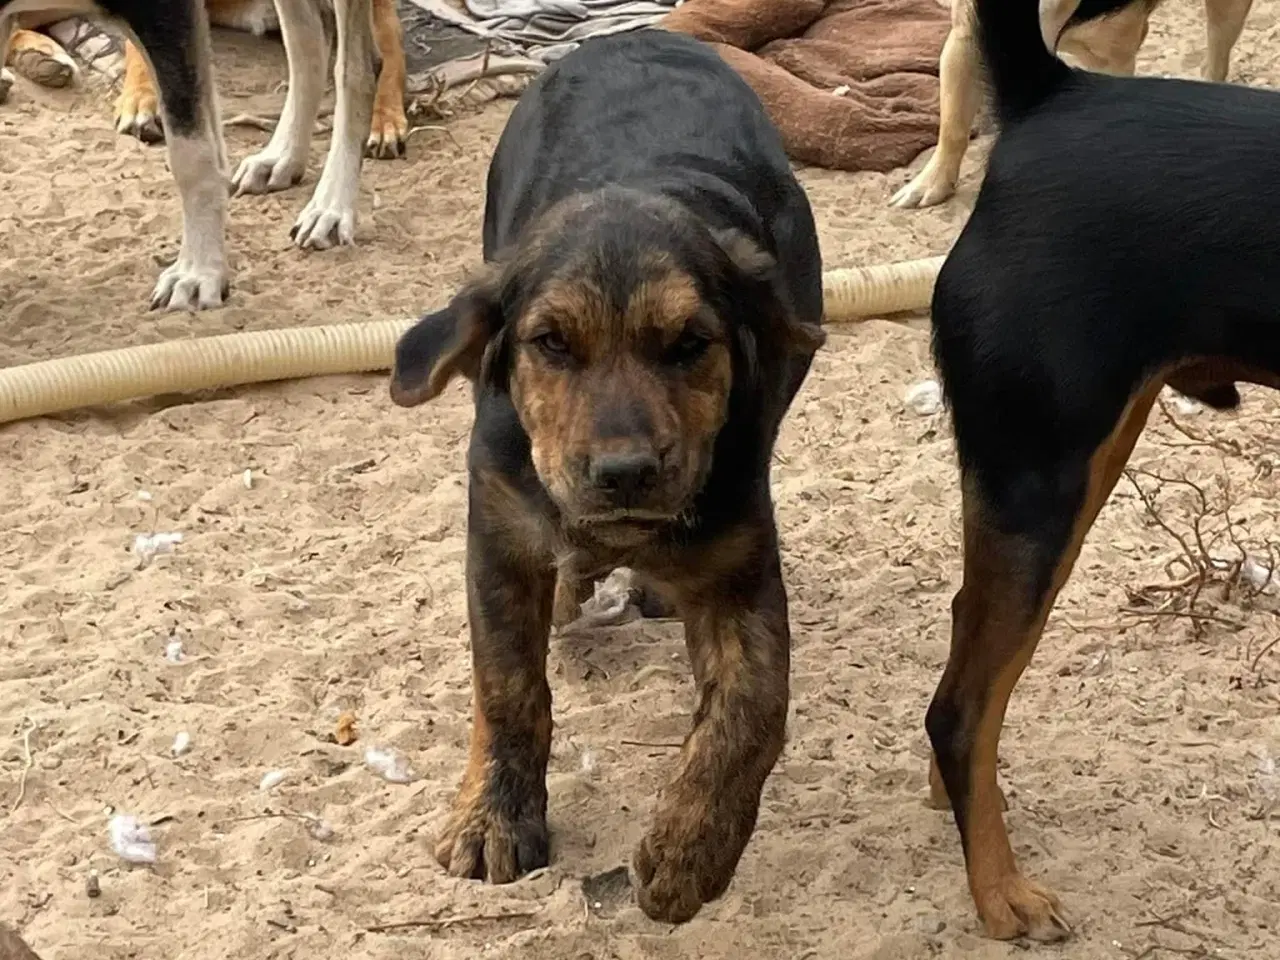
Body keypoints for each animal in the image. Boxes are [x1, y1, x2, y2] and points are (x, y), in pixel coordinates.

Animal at [389, 28, 824, 926]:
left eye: (690, 345)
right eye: (552, 343)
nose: (625, 475)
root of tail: (641, 32)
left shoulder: (739, 560)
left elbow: (754, 708)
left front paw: (688, 855)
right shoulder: (499, 531)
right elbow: (508, 686)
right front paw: (493, 820)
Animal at [890, 0, 1249, 209]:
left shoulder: (1111, 60)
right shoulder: (965, 38)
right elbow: (952, 128)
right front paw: (930, 184)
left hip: (1226, 11)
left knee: (1216, 60)